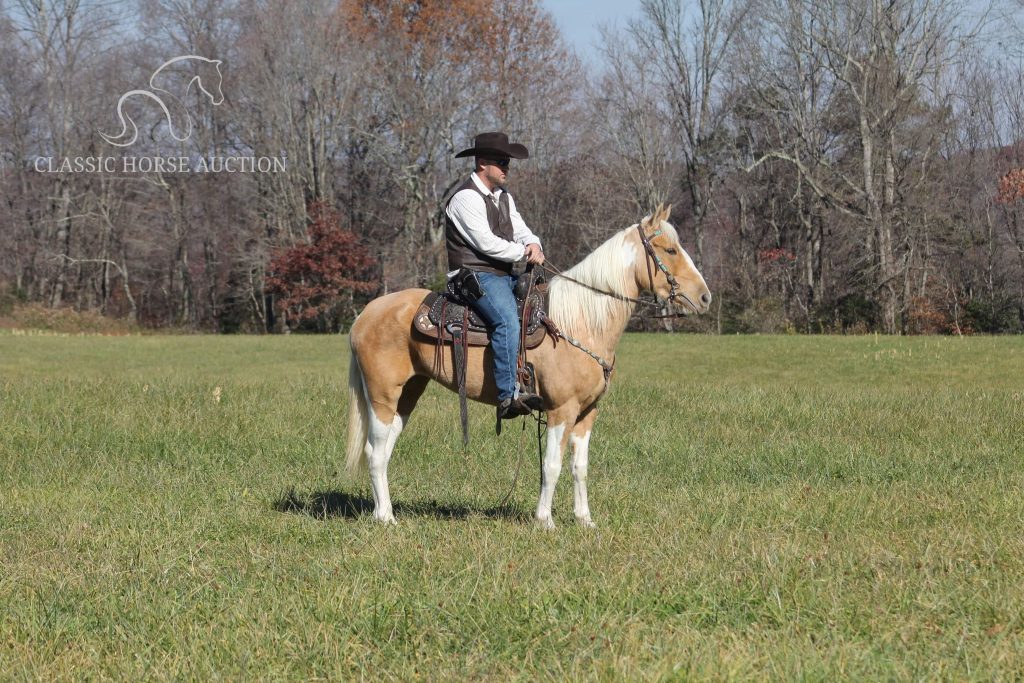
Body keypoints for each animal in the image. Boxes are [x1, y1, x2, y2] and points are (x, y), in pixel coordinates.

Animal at [345, 204, 711, 528]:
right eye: (670, 249)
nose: (704, 297)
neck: (581, 322)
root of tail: (365, 314)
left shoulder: (587, 413)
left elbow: (579, 467)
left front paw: (584, 521)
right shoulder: (561, 410)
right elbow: (551, 465)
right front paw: (545, 521)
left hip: (408, 393)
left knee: (381, 450)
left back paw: (382, 512)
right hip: (382, 395)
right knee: (375, 453)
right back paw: (387, 519)